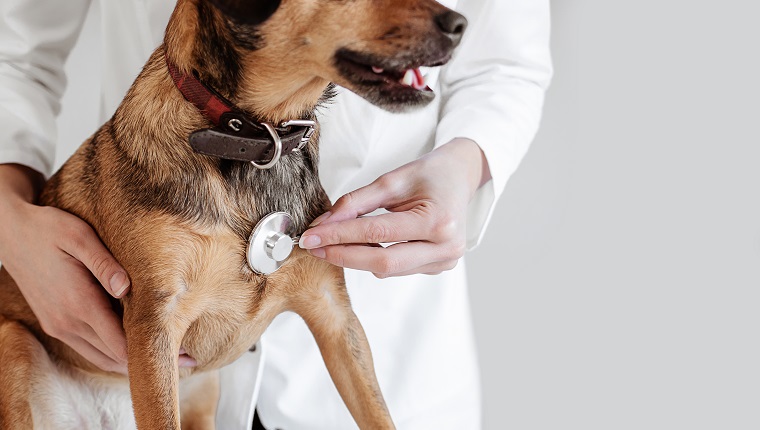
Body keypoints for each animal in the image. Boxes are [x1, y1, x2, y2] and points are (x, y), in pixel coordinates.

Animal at [0, 0, 464, 428]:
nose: (460, 25)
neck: (257, 141)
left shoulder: (335, 315)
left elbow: (378, 414)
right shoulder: (156, 324)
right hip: (15, 347)